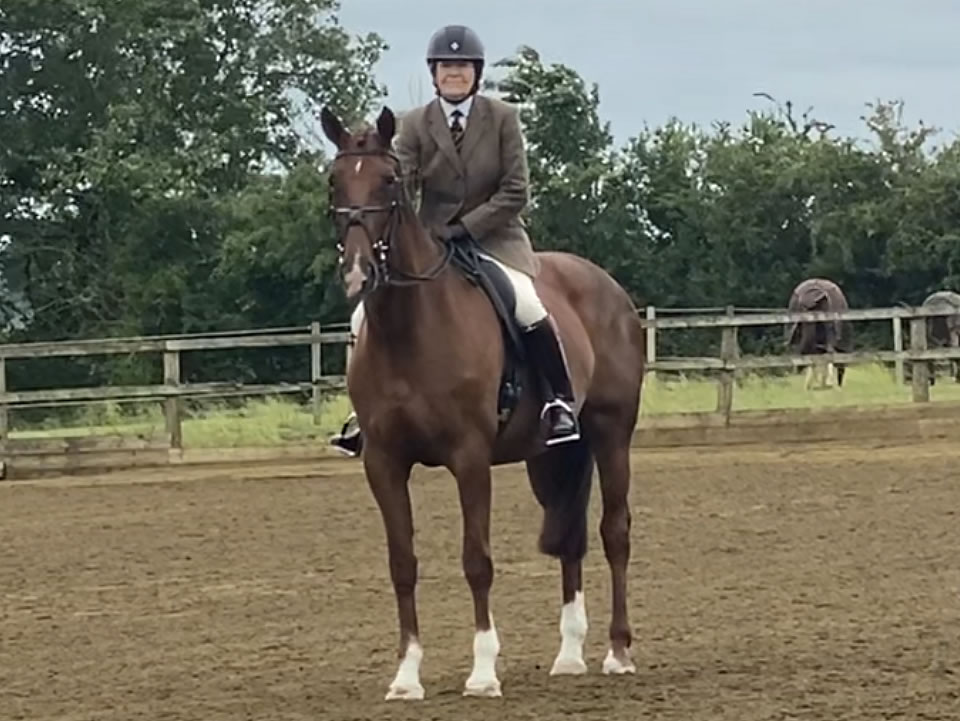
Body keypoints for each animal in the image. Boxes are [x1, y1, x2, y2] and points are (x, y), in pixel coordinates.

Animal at [319, 105, 646, 701]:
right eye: (335, 181)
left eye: (389, 181)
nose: (358, 272)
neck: (409, 329)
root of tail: (603, 282)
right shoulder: (383, 462)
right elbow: (402, 563)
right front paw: (406, 676)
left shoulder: (469, 457)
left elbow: (477, 560)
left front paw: (483, 671)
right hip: (551, 454)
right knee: (571, 541)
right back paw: (569, 656)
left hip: (611, 435)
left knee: (615, 531)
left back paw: (616, 652)